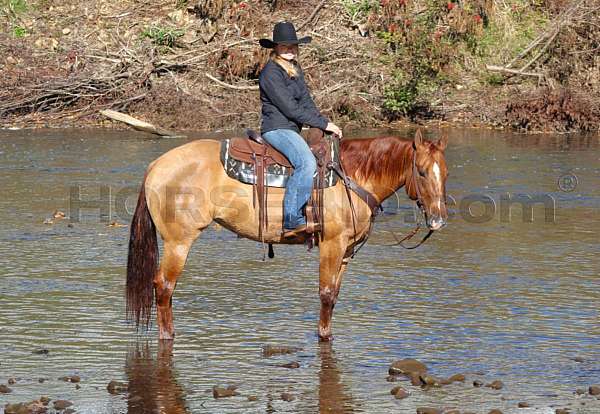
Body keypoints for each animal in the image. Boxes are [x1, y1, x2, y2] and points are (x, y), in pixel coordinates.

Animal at [125, 129, 446, 340]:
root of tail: (156, 165)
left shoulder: (346, 251)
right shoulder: (331, 244)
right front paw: (323, 336)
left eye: (445, 172)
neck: (353, 176)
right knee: (164, 286)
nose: (438, 220)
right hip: (178, 242)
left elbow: (335, 294)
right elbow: (326, 294)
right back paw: (168, 336)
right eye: (421, 172)